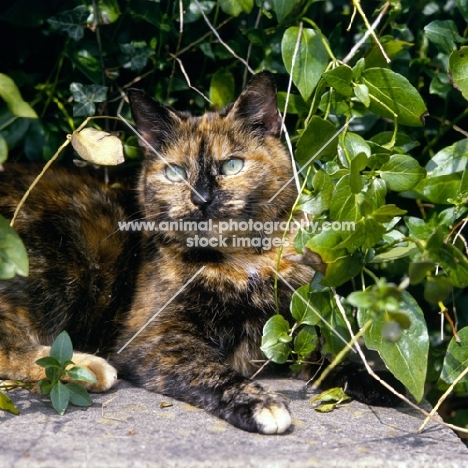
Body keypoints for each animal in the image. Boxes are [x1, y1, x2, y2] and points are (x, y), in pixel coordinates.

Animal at [0, 73, 398, 436]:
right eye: (175, 173)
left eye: (232, 165)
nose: (201, 199)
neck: (242, 260)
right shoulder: (154, 337)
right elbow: (210, 369)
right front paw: (258, 402)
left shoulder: (290, 328)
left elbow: (333, 356)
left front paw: (381, 382)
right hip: (68, 255)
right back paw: (85, 368)